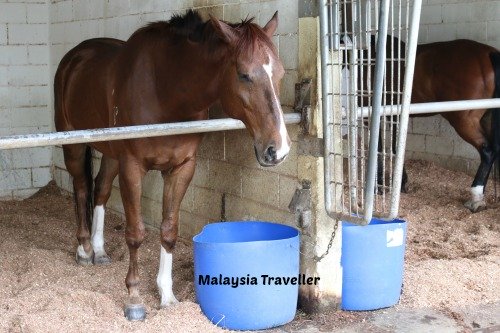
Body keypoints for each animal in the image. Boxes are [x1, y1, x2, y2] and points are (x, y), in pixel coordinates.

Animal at [53, 10, 290, 320]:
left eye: (281, 73)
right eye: (243, 74)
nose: (278, 150)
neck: (165, 91)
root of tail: (74, 56)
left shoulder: (182, 168)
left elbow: (169, 230)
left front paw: (167, 295)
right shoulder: (132, 168)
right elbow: (135, 233)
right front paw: (134, 299)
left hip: (112, 153)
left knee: (100, 190)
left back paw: (99, 249)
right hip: (74, 144)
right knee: (81, 188)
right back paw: (83, 250)